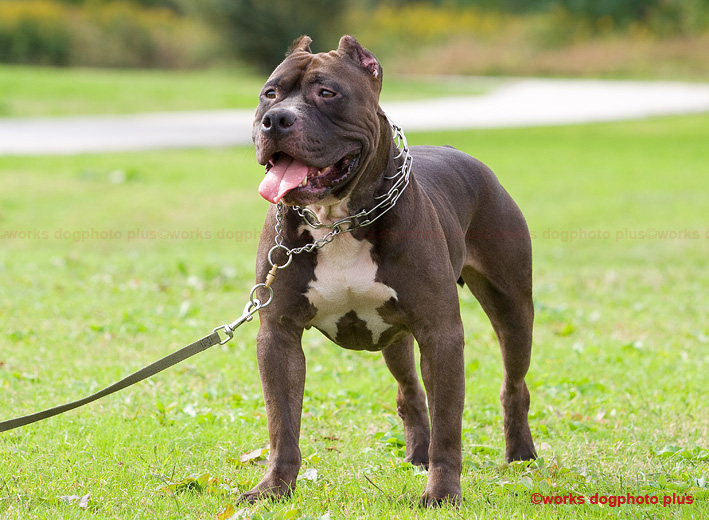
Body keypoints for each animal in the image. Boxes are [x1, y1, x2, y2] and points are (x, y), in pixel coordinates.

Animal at [241, 34, 532, 506]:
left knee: (513, 383)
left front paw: (443, 492)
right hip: (396, 337)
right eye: (270, 92)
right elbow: (282, 423)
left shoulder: (441, 333)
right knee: (410, 392)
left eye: (327, 93)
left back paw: (521, 454)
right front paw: (274, 488)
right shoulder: (278, 335)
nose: (276, 120)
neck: (337, 223)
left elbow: (449, 427)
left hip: (512, 308)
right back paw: (416, 454)